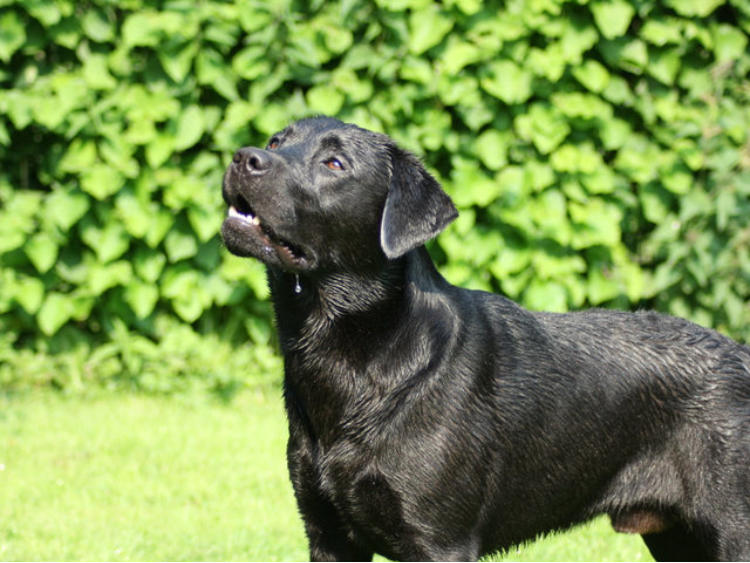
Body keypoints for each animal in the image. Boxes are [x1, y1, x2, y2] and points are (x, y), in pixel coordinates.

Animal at [221, 116, 750, 561]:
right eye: (276, 141)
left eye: (334, 163)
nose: (244, 157)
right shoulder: (328, 536)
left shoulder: (439, 542)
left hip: (730, 527)